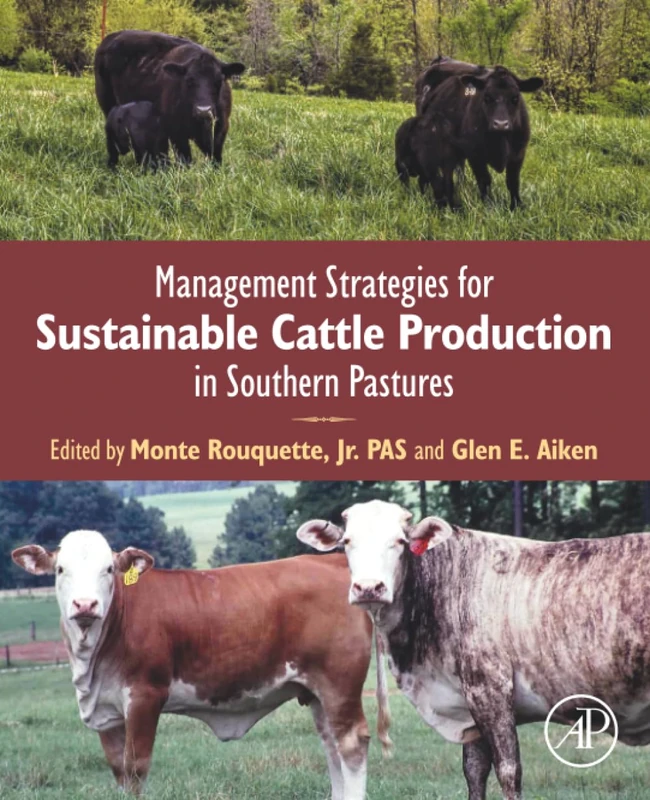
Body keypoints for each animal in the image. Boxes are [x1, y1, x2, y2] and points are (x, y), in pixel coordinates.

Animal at [12, 530, 392, 799]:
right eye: (61, 570)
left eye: (108, 569)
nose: (85, 604)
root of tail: (331, 562)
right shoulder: (107, 711)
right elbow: (119, 770)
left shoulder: (145, 697)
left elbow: (135, 769)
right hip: (316, 692)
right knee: (331, 746)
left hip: (339, 682)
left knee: (351, 745)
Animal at [94, 30, 245, 165]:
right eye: (188, 80)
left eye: (219, 80)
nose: (203, 110)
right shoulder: (175, 131)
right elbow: (185, 159)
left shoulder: (221, 126)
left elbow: (216, 155)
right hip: (108, 105)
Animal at [298, 499, 650, 800]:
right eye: (347, 542)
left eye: (399, 541)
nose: (369, 587)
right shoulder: (468, 702)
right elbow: (474, 770)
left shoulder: (489, 689)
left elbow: (508, 770)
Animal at [423, 66, 543, 210]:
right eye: (487, 97)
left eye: (515, 98)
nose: (500, 124)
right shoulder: (475, 155)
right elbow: (484, 180)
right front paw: (489, 205)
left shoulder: (518, 153)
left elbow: (513, 181)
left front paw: (517, 206)